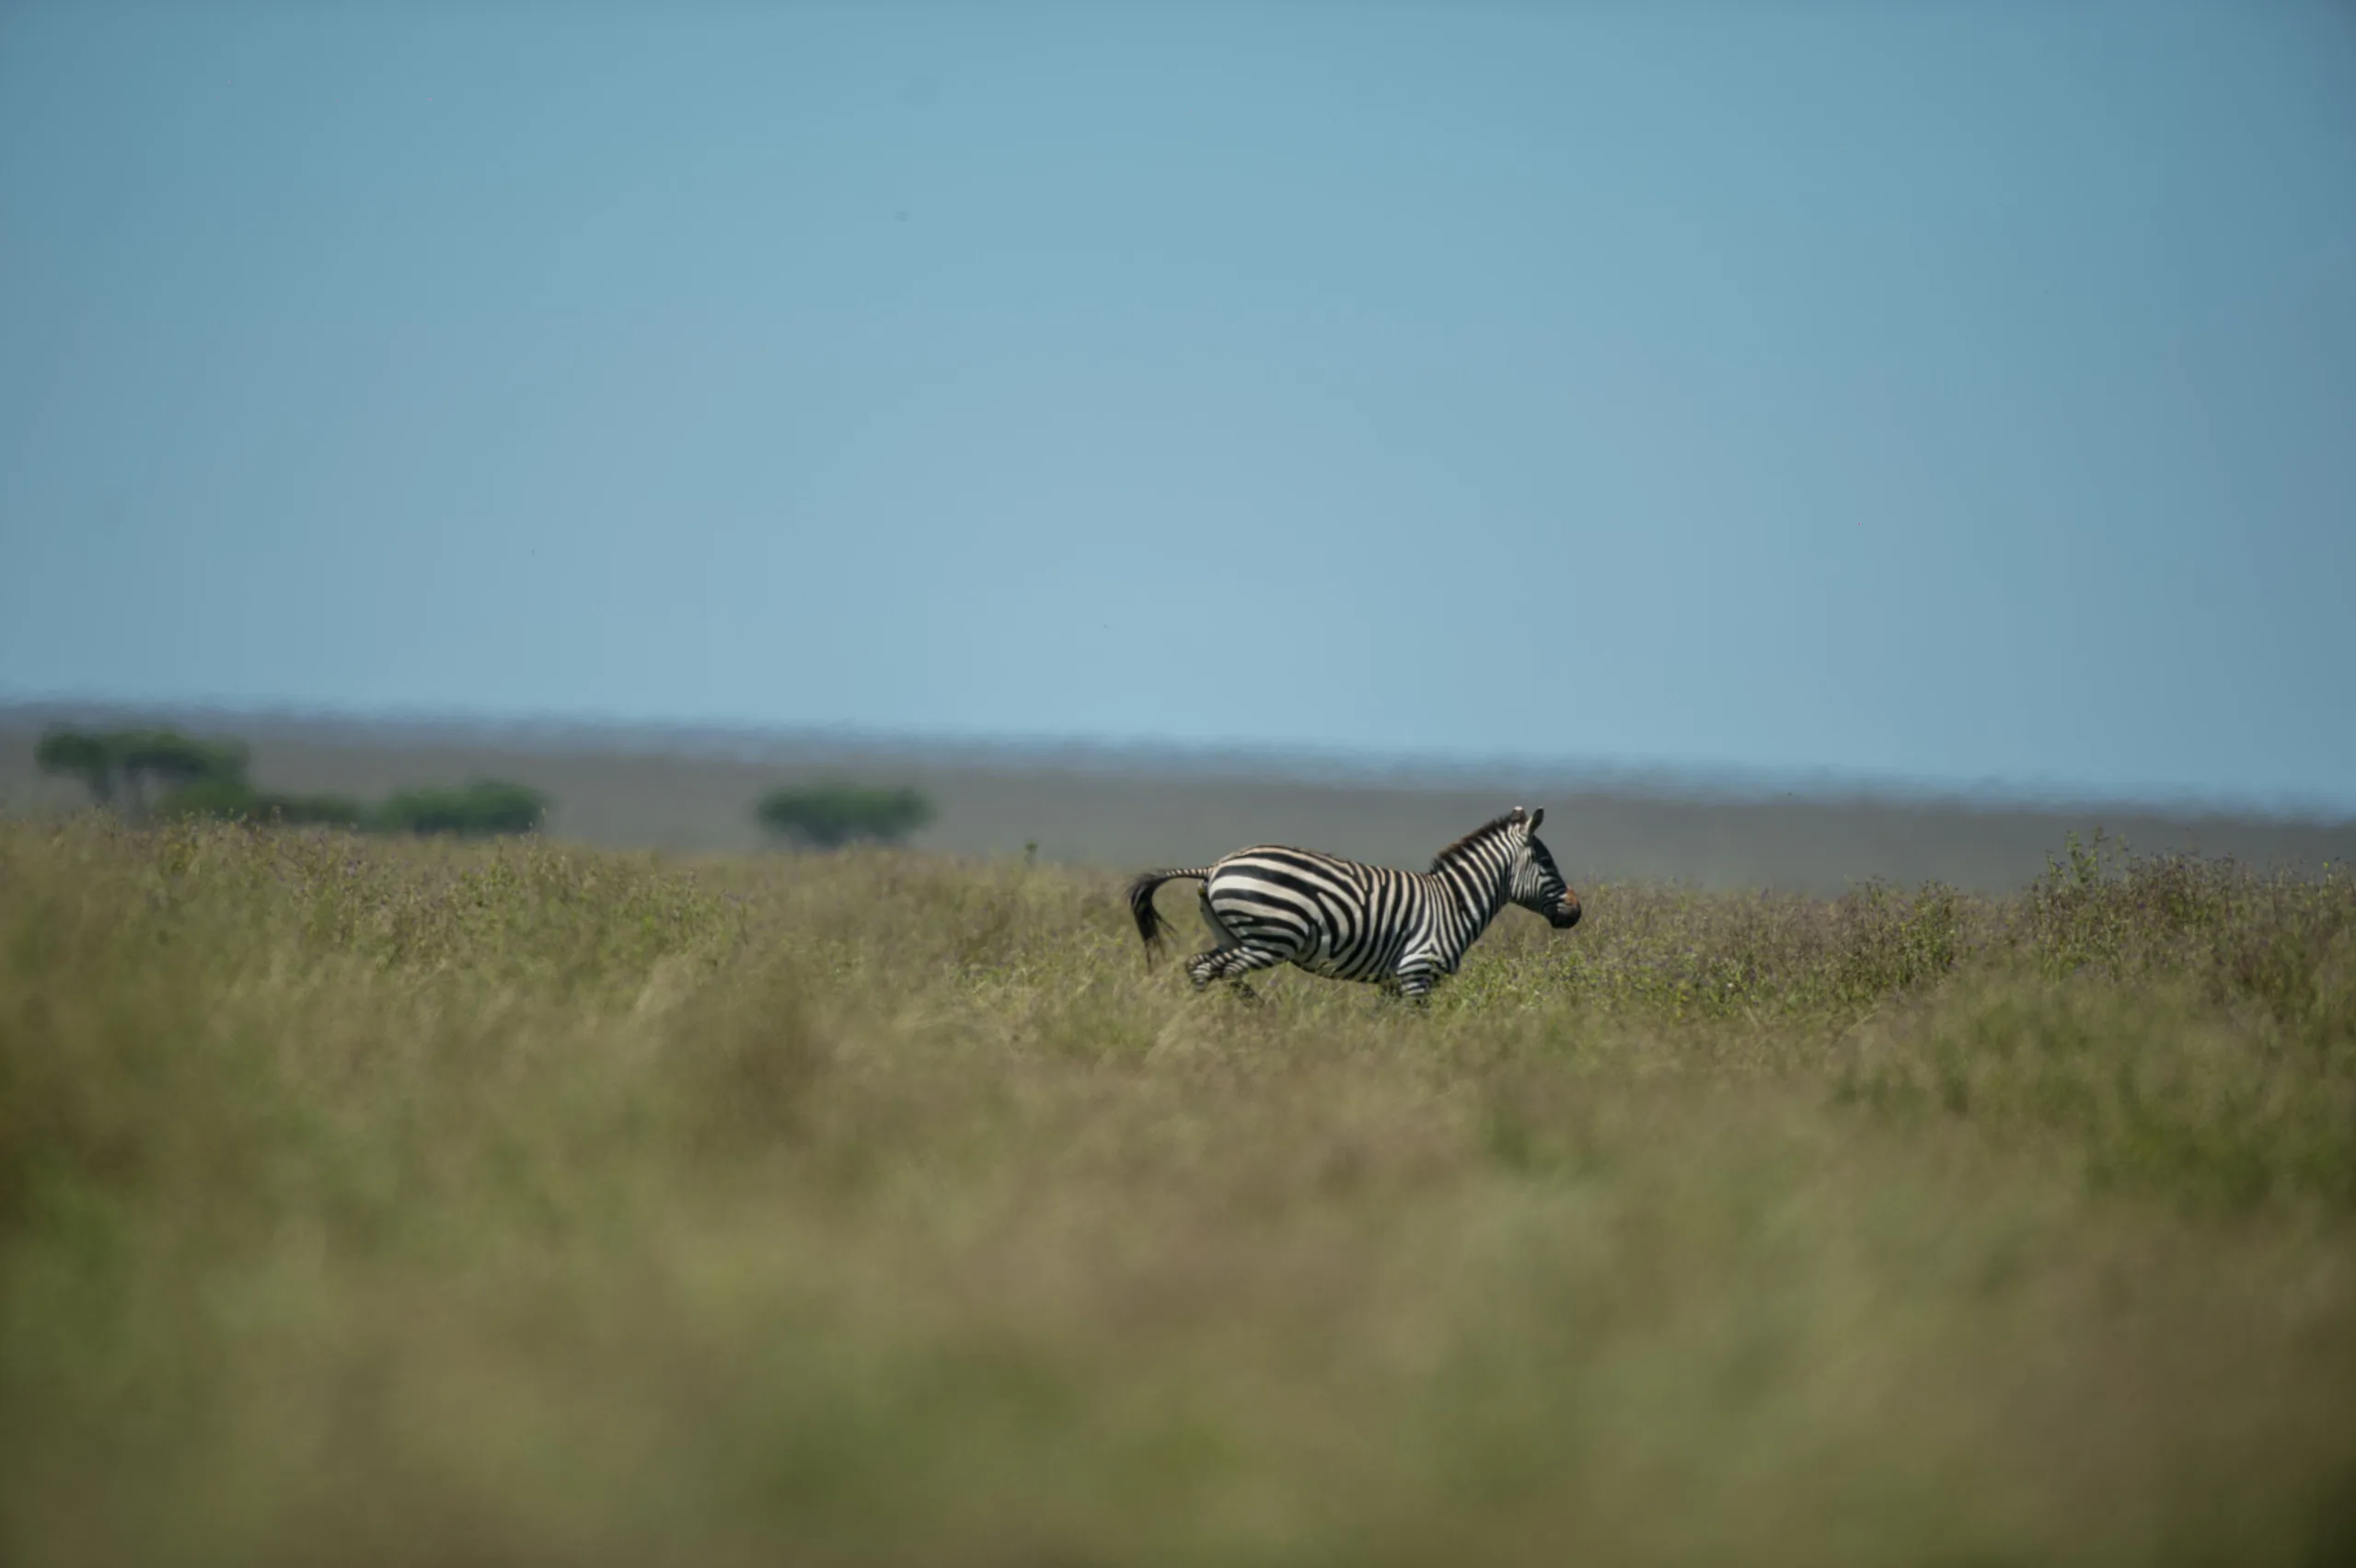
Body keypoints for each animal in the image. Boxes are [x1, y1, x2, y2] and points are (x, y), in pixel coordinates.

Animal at [1124, 806, 1581, 1003]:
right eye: (1546, 862)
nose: (1576, 911)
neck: (1456, 901)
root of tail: (1216, 866)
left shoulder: (1394, 981)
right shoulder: (1417, 971)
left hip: (1233, 935)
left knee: (1203, 966)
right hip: (1270, 939)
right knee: (1220, 971)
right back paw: (1248, 1018)